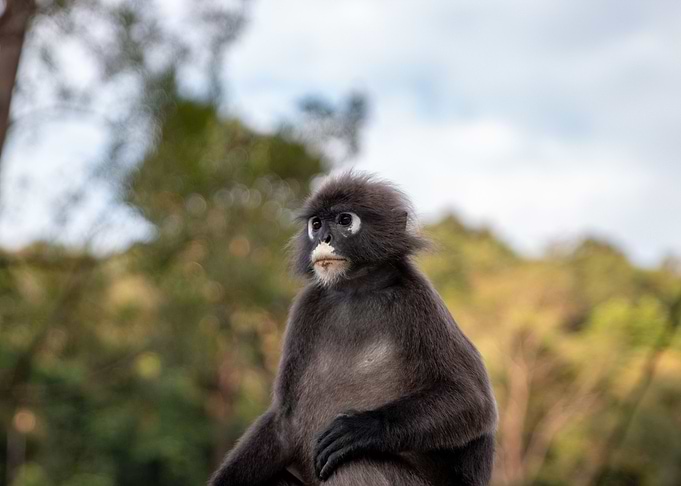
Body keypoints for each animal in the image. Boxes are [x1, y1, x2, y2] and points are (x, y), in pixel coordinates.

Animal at [209, 172, 497, 486]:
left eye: (345, 220)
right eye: (317, 224)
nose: (324, 238)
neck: (357, 288)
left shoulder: (418, 298)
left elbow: (472, 400)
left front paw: (362, 428)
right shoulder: (308, 304)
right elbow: (286, 422)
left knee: (355, 462)